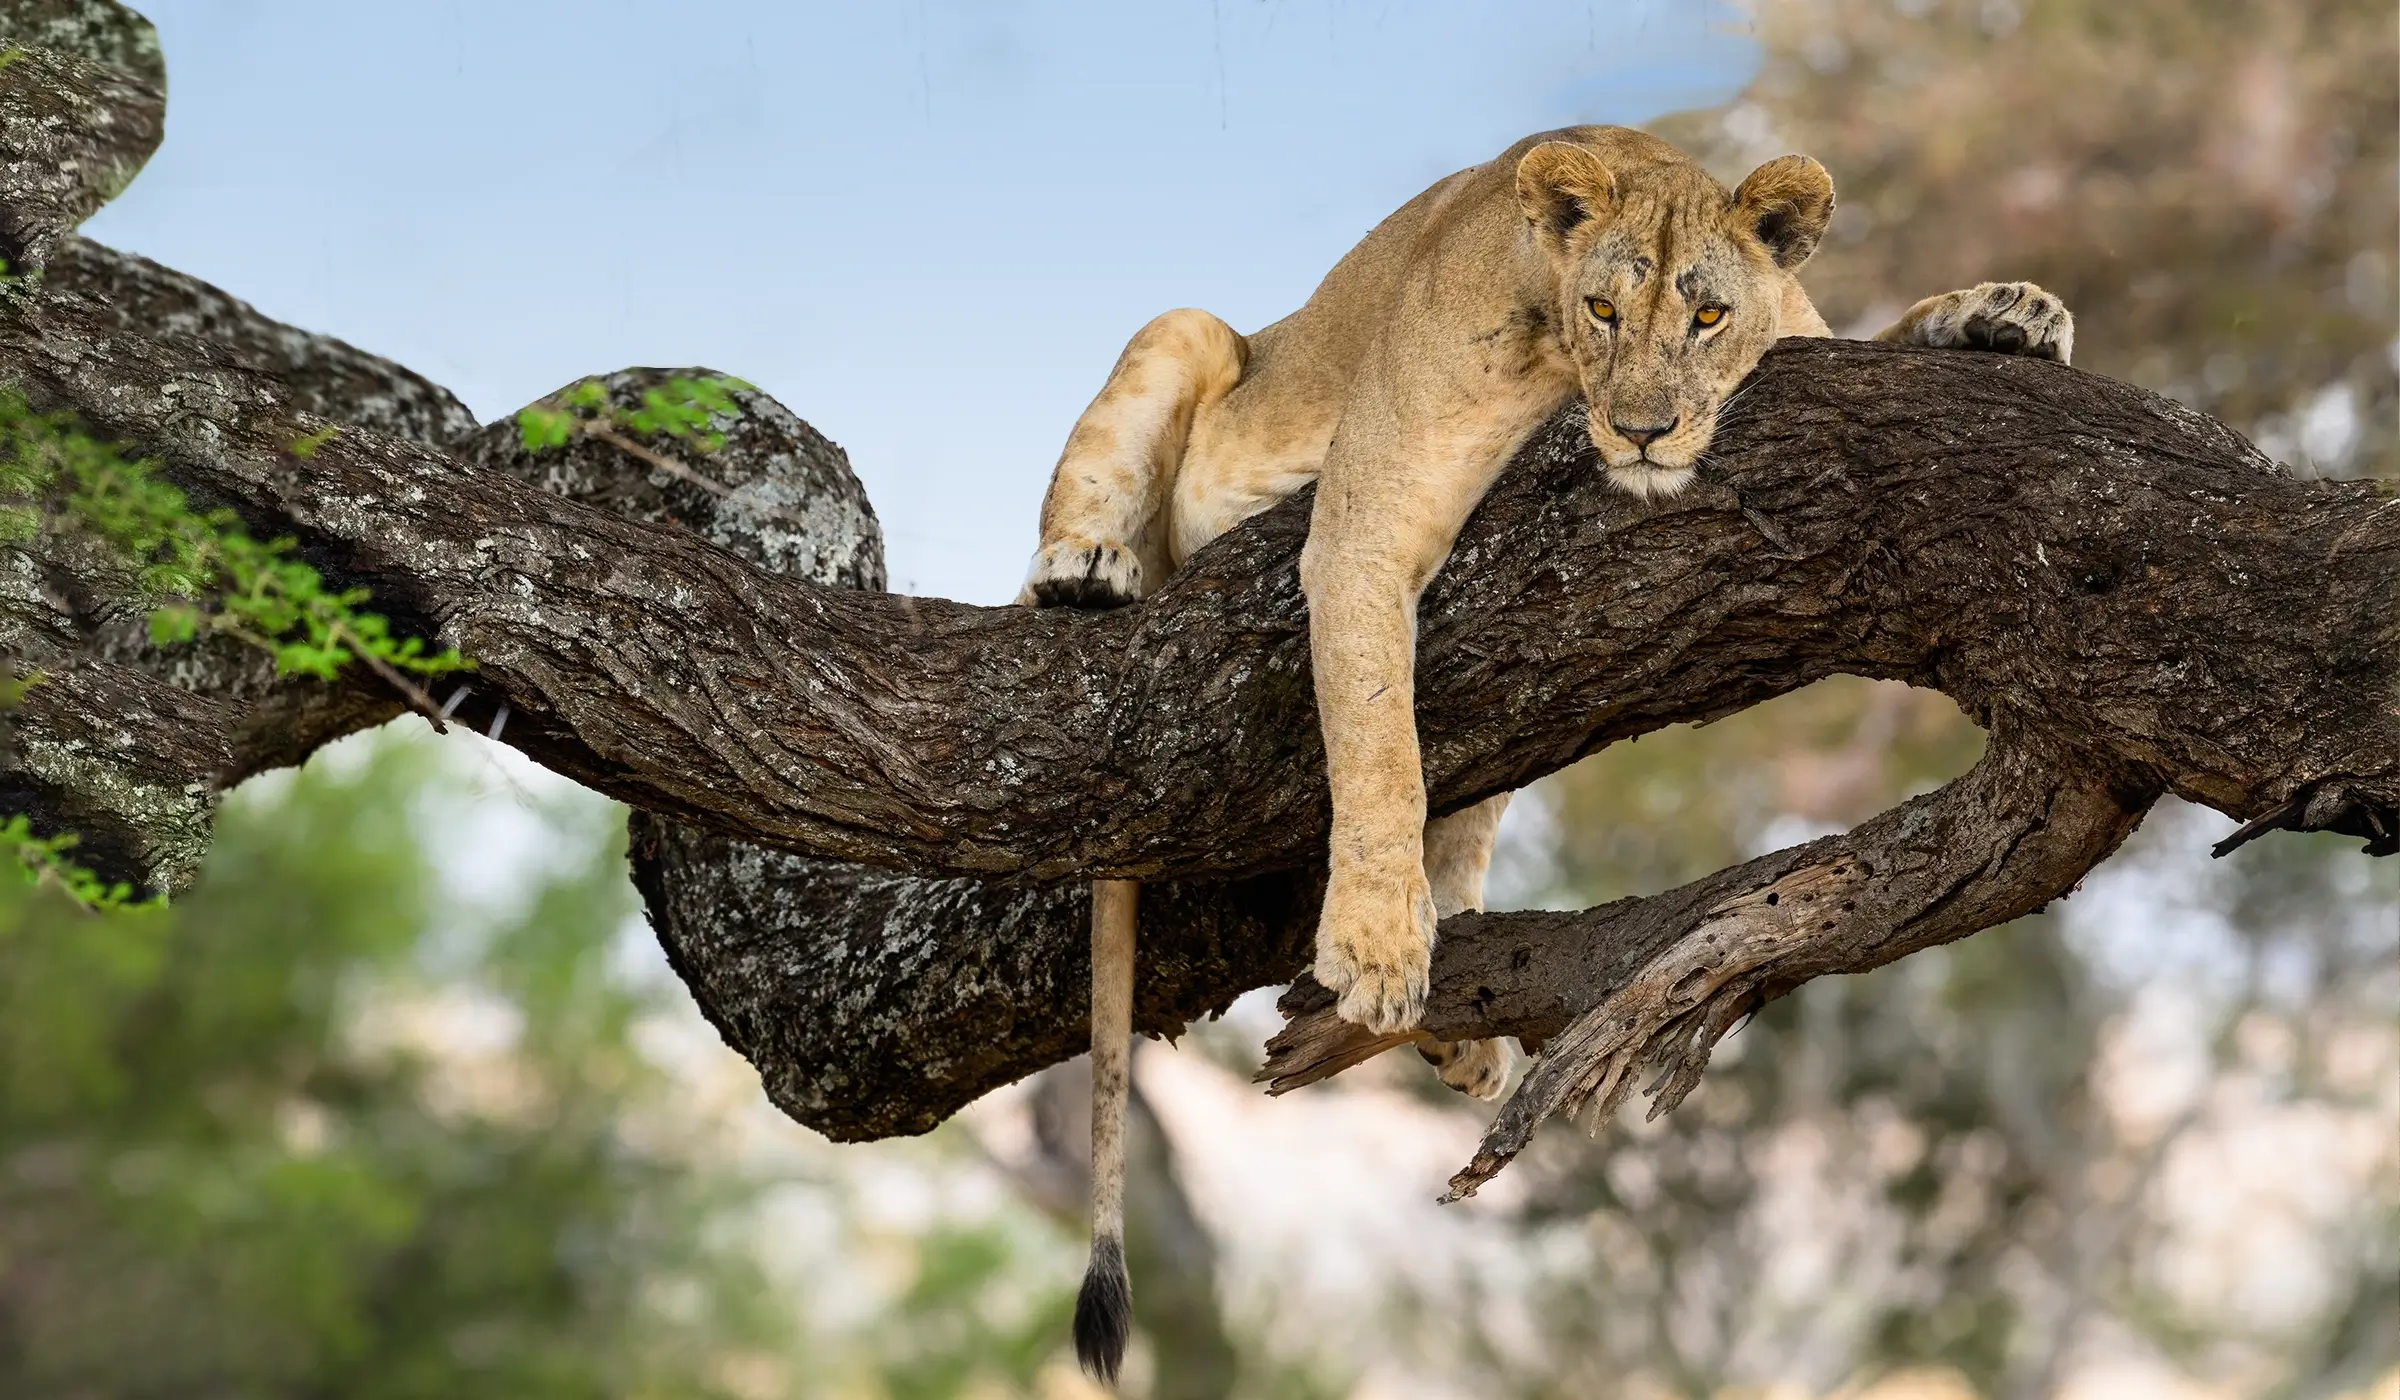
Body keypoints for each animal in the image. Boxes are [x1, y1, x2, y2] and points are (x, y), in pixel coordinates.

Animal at [1019, 124, 2073, 1383]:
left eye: (1707, 316)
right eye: (1606, 309)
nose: (1646, 431)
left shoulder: (1804, 342)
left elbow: (1879, 331)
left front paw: (2006, 312)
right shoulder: (1361, 528)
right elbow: (1378, 740)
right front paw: (1375, 941)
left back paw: (1463, 1022)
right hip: (1188, 337)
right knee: (1094, 481)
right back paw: (1085, 570)